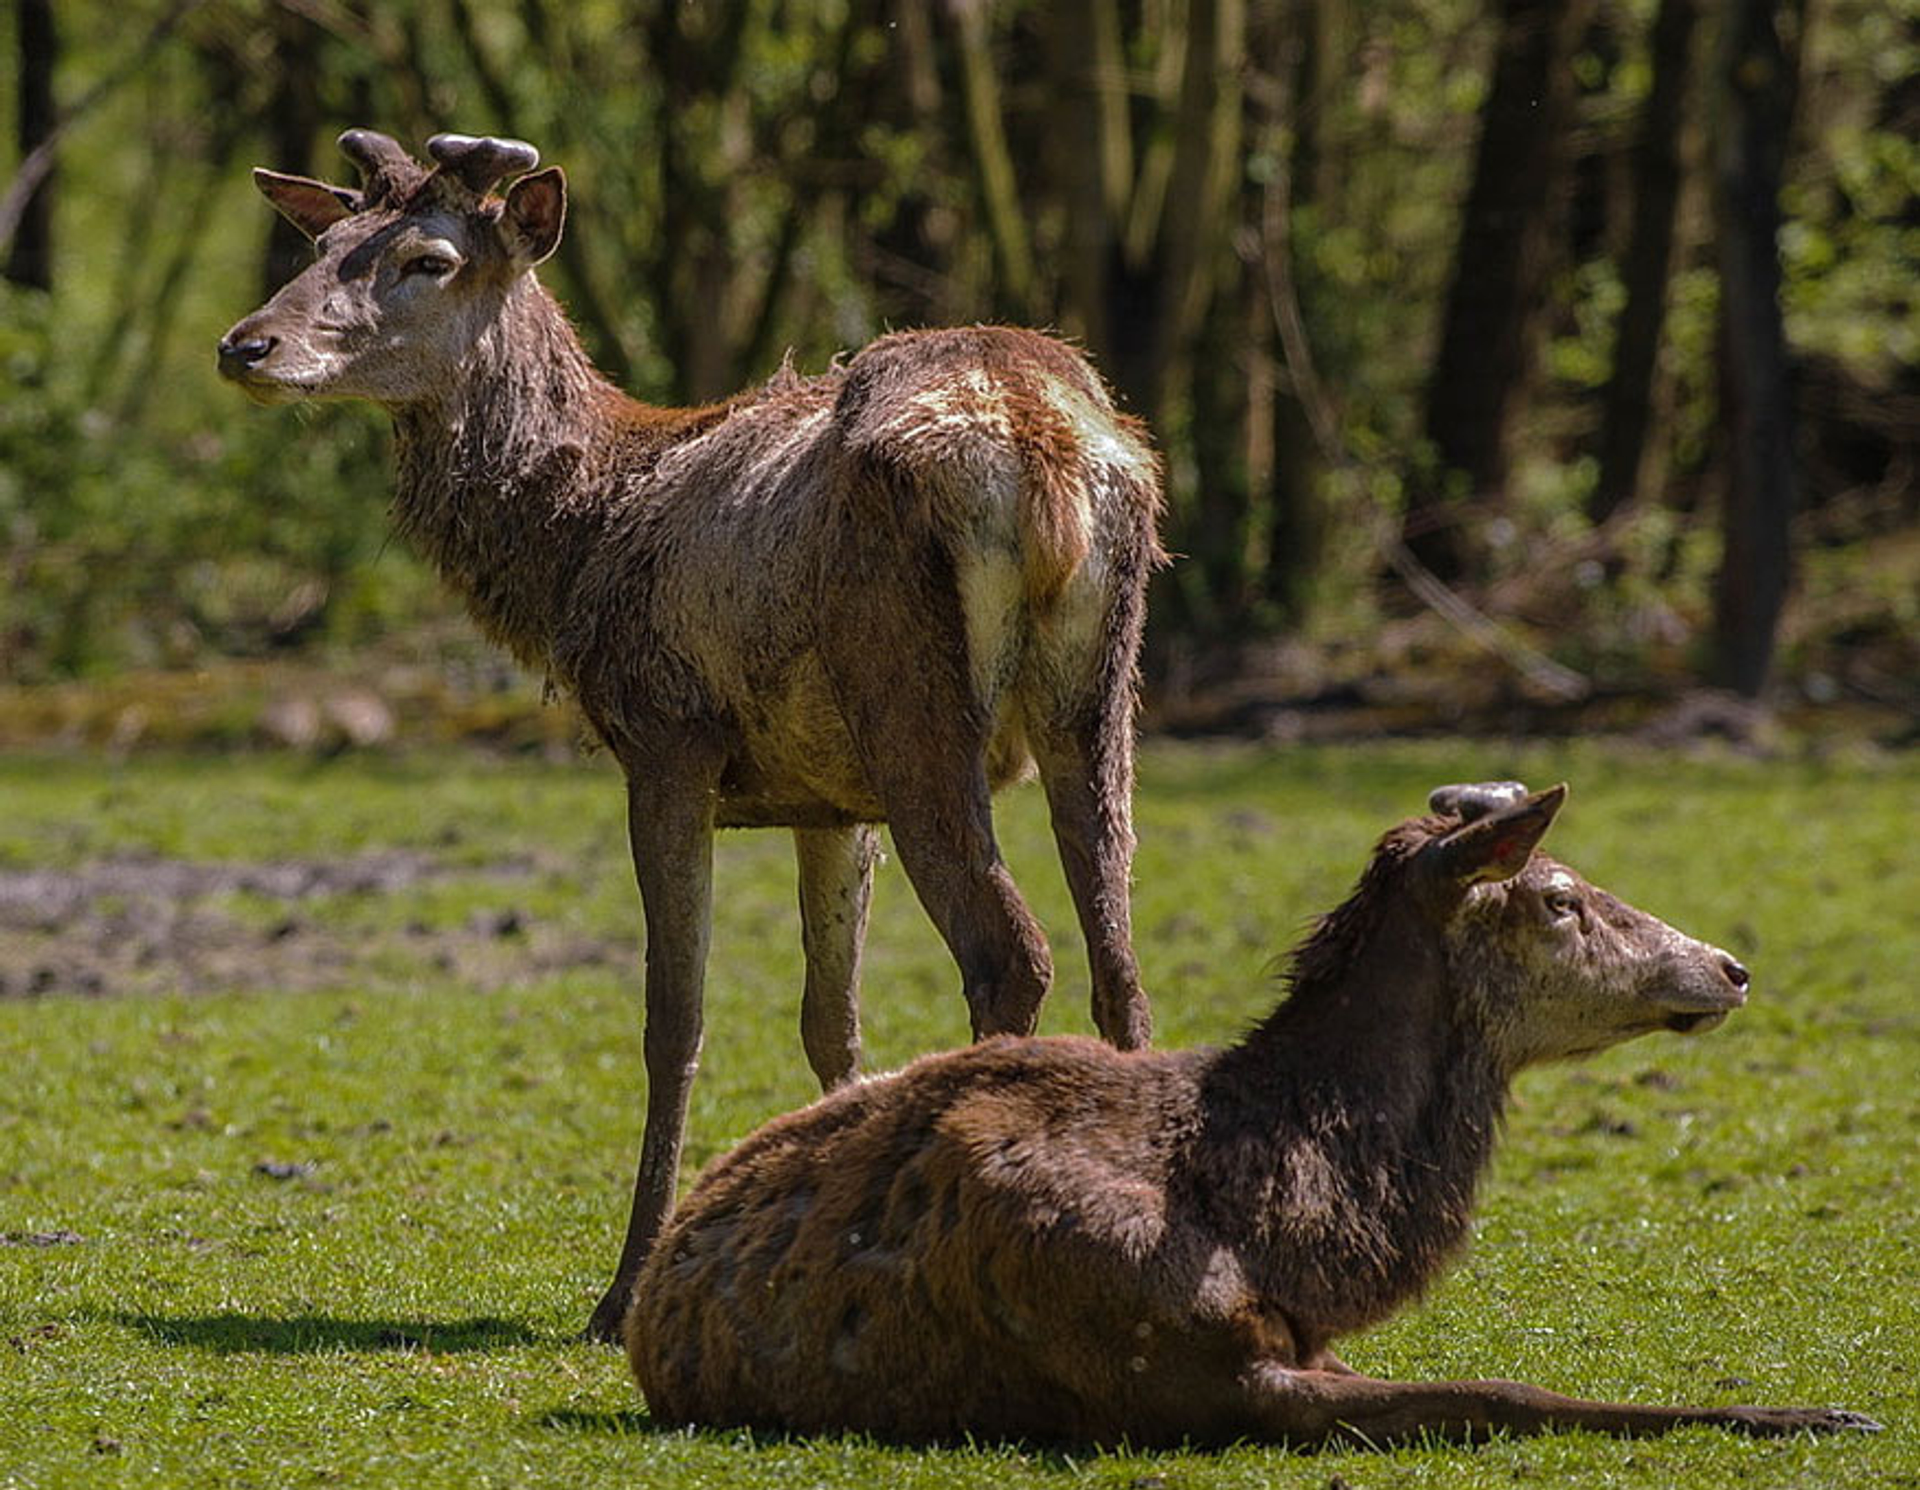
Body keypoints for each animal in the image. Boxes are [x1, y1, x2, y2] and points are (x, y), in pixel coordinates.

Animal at [217, 130, 1159, 1336]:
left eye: (428, 259)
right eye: (321, 242)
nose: (246, 342)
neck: (579, 539)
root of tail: (1044, 453)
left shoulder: (666, 736)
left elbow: (676, 1018)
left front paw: (620, 1293)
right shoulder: (828, 795)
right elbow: (831, 1022)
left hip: (912, 700)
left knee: (1012, 951)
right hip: (1097, 697)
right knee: (1117, 957)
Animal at [625, 779, 1873, 1443]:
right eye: (1561, 897)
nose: (1729, 965)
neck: (1292, 1224)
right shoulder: (1175, 1365)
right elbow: (1509, 1388)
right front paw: (1812, 1415)